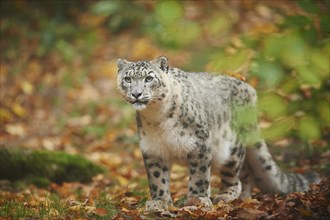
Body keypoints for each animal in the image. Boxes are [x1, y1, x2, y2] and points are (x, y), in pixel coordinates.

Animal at [115, 55, 320, 211]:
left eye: (149, 78)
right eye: (127, 79)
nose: (136, 94)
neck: (156, 118)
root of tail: (250, 90)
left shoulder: (199, 143)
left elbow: (199, 175)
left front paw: (196, 200)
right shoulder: (153, 149)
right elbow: (158, 178)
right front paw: (159, 202)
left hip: (230, 148)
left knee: (235, 174)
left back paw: (226, 196)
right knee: (247, 172)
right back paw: (244, 197)